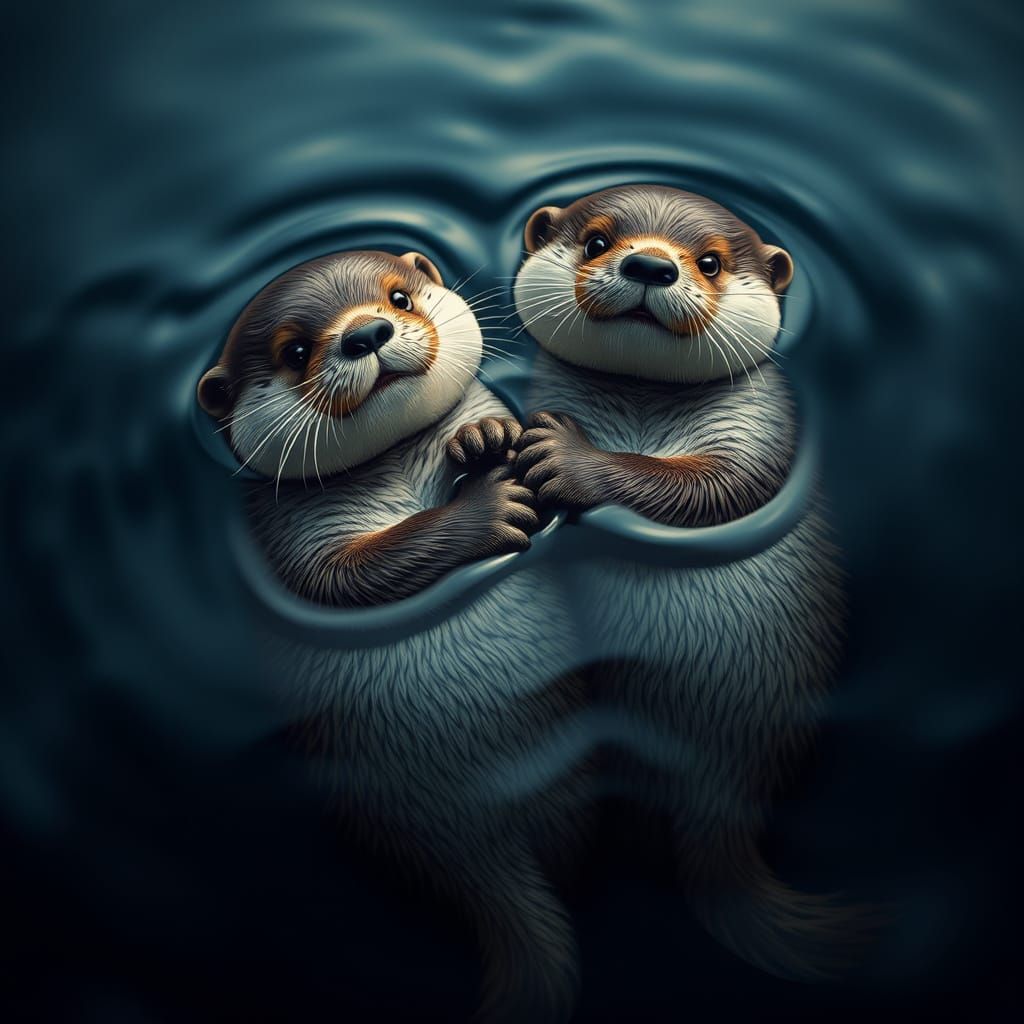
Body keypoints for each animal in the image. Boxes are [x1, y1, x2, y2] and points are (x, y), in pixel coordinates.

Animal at [198, 250, 586, 1022]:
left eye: (399, 297)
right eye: (294, 351)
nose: (367, 333)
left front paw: (484, 442)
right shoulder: (295, 542)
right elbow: (360, 573)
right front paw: (489, 504)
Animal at [512, 185, 854, 979]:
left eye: (710, 261)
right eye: (598, 240)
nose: (650, 264)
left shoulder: (761, 442)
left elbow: (699, 489)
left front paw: (566, 456)